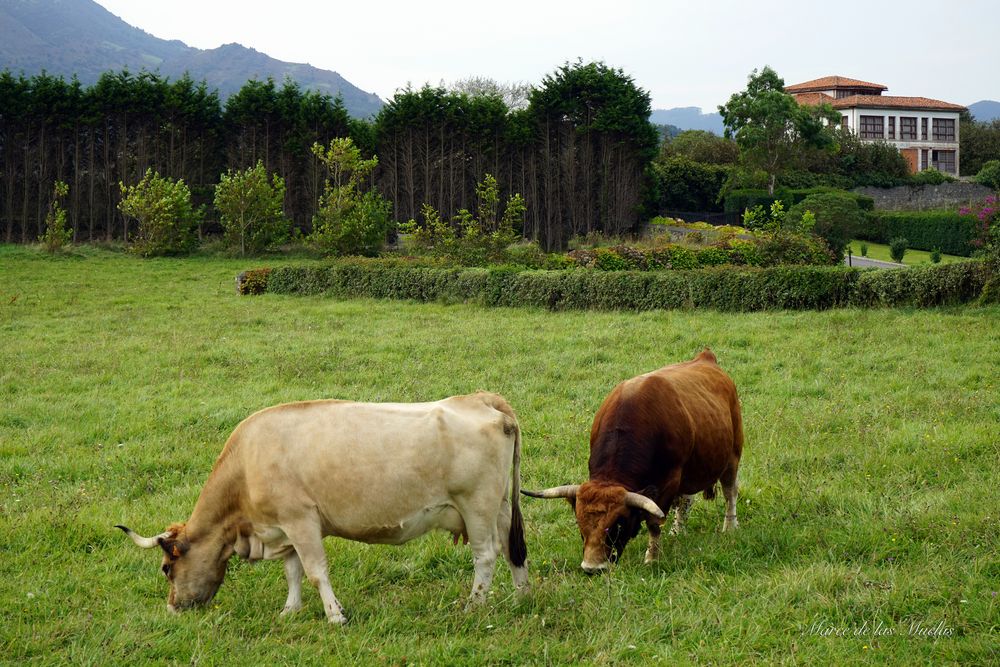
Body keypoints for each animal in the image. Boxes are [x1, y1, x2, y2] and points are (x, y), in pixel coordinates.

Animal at [524, 350, 744, 576]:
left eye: (617, 525)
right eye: (580, 523)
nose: (592, 568)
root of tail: (706, 358)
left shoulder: (670, 481)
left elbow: (654, 523)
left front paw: (652, 558)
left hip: (732, 456)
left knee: (730, 492)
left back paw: (729, 526)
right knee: (686, 500)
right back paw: (678, 530)